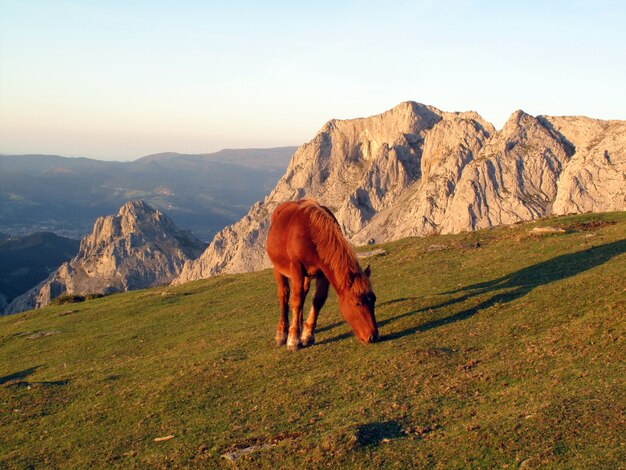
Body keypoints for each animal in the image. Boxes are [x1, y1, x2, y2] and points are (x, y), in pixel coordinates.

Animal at [264, 197, 376, 348]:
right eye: (357, 303)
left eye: (373, 300)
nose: (373, 336)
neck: (311, 234)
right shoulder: (296, 268)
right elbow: (296, 300)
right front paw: (293, 339)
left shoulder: (323, 272)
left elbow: (318, 300)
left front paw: (307, 335)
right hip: (279, 268)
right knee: (284, 294)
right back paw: (282, 333)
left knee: (303, 293)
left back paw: (299, 325)